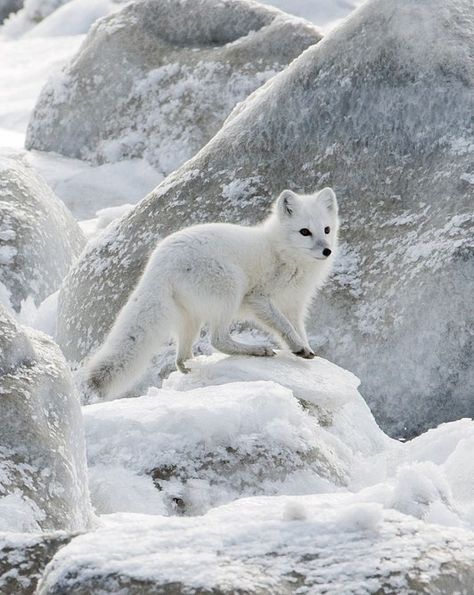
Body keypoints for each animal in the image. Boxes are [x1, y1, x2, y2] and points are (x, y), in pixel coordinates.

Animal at [84, 186, 336, 400]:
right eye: (304, 232)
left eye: (327, 229)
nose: (327, 251)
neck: (282, 252)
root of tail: (159, 262)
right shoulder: (258, 298)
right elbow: (283, 326)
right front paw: (299, 348)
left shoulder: (295, 304)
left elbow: (296, 329)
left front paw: (305, 351)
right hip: (230, 290)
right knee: (218, 340)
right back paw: (257, 350)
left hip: (190, 318)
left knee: (181, 359)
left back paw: (194, 372)